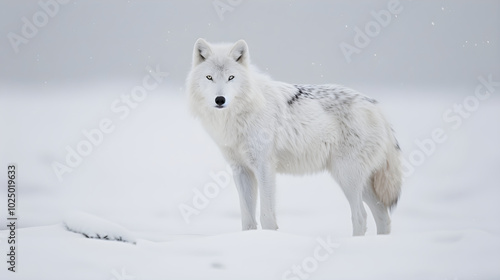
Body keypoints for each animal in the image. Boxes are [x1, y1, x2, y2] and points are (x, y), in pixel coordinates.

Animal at [187, 38, 402, 236]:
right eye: (209, 77)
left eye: (231, 77)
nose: (220, 100)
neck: (236, 116)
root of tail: (376, 107)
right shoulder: (241, 170)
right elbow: (247, 219)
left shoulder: (264, 166)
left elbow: (266, 216)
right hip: (359, 182)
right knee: (383, 216)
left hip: (347, 176)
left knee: (360, 216)